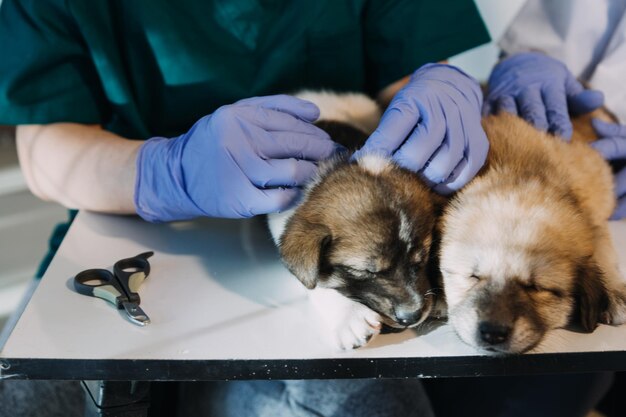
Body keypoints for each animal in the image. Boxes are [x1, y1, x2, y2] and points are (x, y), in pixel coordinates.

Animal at [438, 112, 624, 352]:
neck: (519, 169)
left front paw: (614, 291)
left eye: (535, 287)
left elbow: (600, 240)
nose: (492, 333)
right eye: (474, 276)